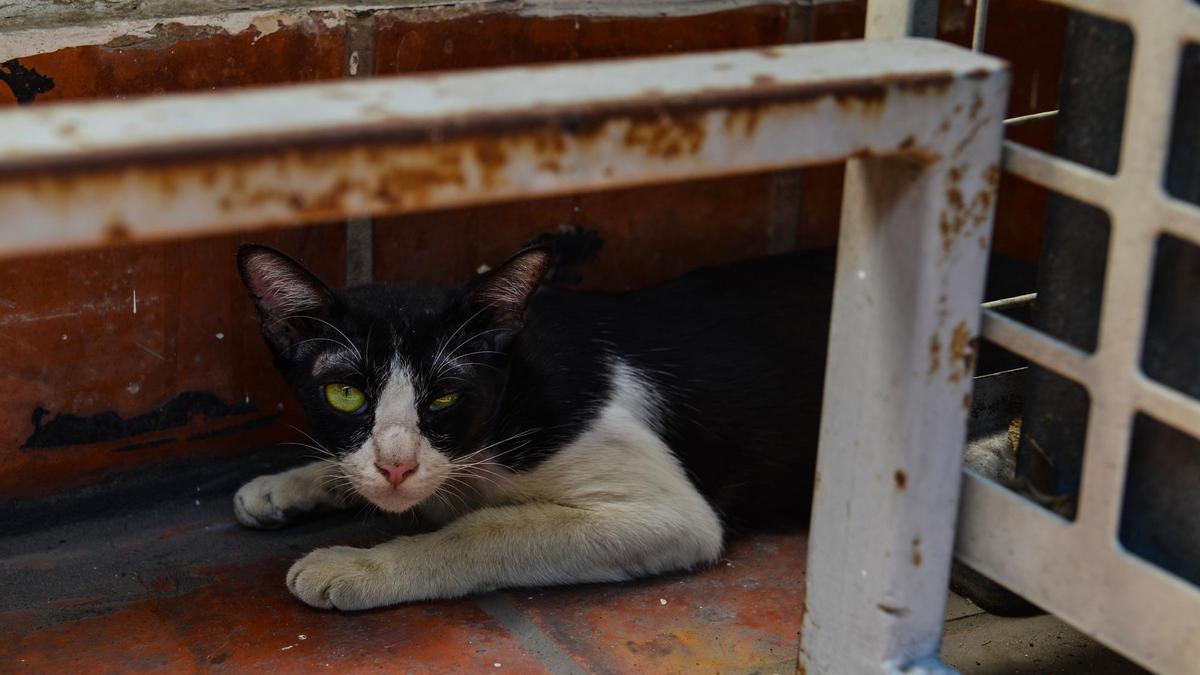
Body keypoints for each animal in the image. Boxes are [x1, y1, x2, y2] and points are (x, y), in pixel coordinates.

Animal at [234, 241, 835, 610]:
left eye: (446, 397)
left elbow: (485, 530)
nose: (396, 467)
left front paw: (359, 569)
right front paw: (285, 485)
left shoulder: (673, 515)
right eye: (346, 394)